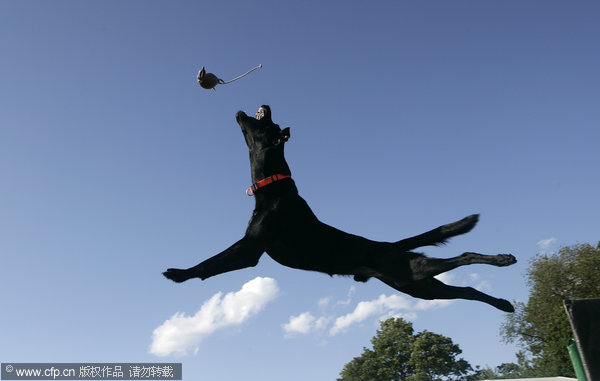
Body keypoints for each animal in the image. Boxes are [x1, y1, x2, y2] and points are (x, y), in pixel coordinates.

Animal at [164, 104, 516, 312]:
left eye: (270, 123)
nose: (266, 105)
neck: (275, 187)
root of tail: (387, 245)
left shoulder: (250, 248)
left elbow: (211, 263)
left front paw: (178, 274)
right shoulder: (252, 248)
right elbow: (212, 263)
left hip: (412, 272)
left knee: (464, 256)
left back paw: (503, 260)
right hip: (416, 285)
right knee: (467, 289)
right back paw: (503, 304)